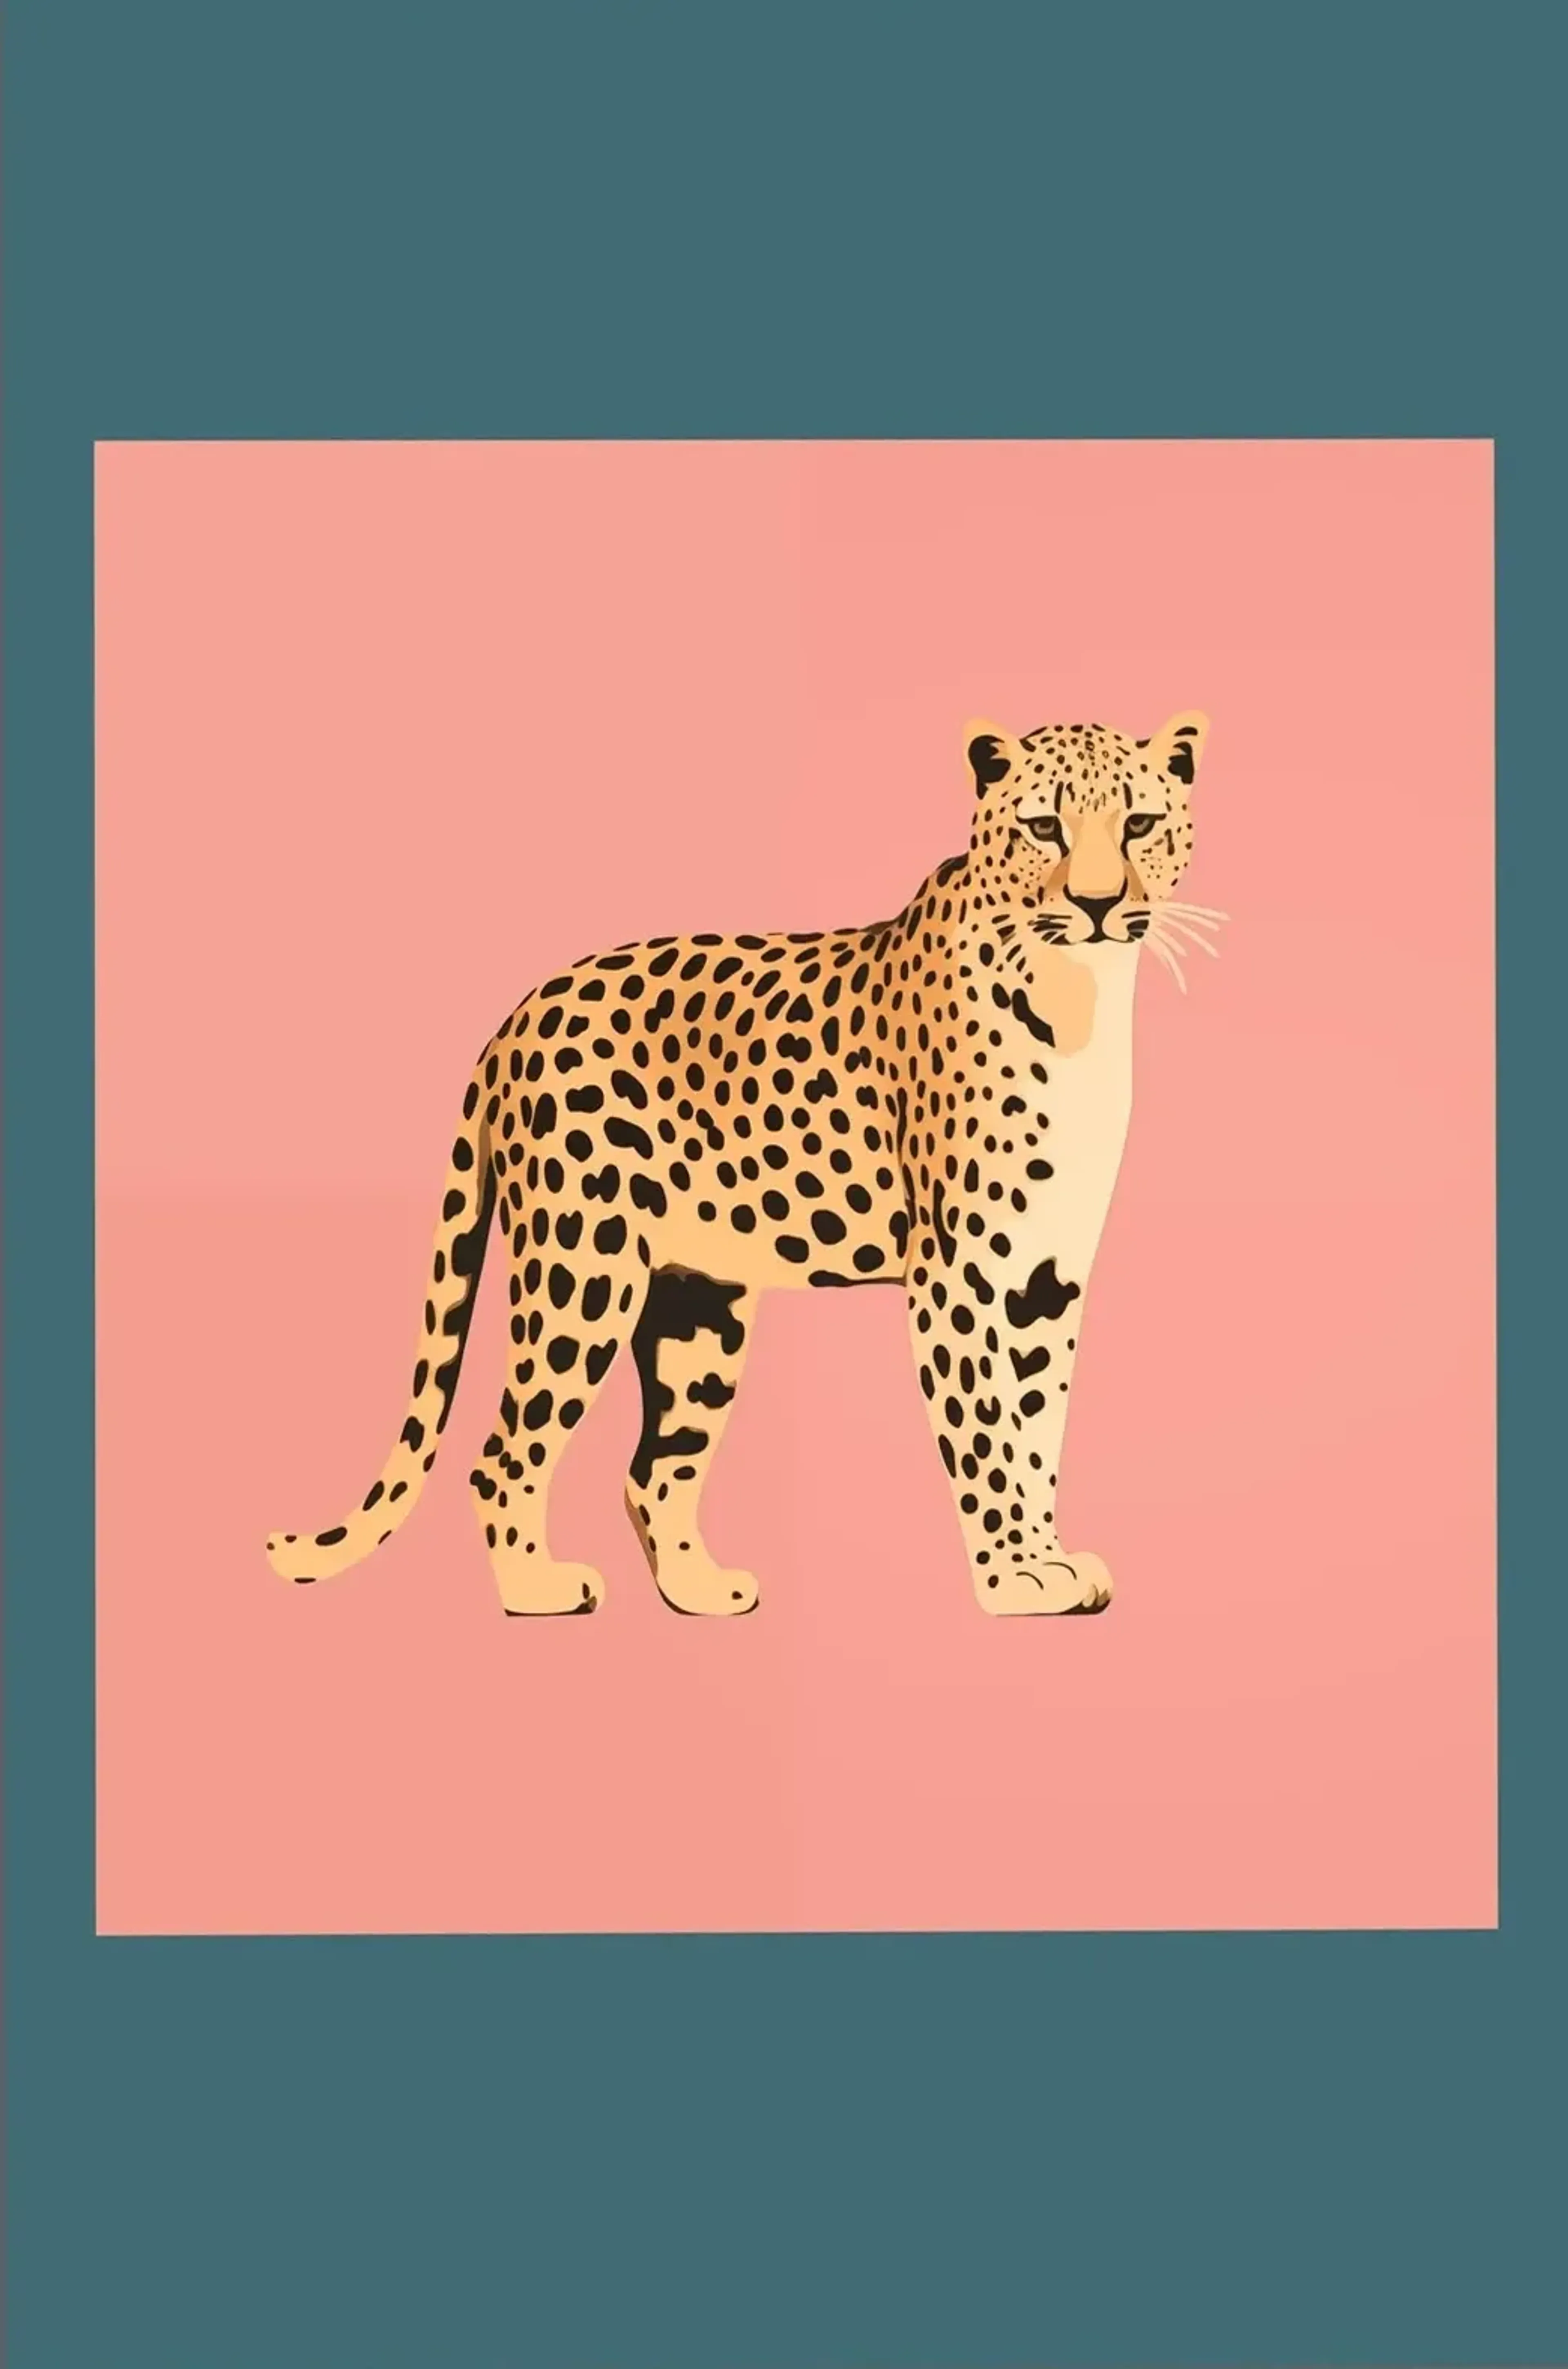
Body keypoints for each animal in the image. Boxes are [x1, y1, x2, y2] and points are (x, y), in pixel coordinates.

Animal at [266, 710, 1221, 1618]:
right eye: (1043, 828)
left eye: (1139, 823)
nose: (1097, 904)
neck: (1081, 996)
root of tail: (518, 1015)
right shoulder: (962, 1272)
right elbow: (987, 1429)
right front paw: (1015, 1579)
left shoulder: (1045, 1278)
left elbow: (1037, 1428)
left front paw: (1047, 1556)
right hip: (583, 1265)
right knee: (505, 1455)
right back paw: (538, 1590)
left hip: (698, 1305)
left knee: (654, 1470)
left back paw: (701, 1592)